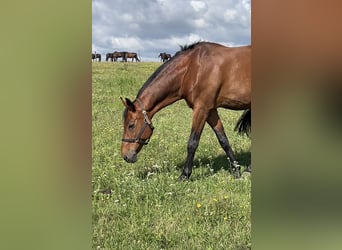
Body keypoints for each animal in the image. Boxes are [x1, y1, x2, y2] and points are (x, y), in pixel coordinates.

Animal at [121, 42, 251, 180]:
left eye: (130, 125)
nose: (125, 156)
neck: (193, 68)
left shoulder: (201, 109)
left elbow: (192, 143)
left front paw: (184, 175)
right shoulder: (210, 110)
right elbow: (223, 140)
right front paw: (236, 170)